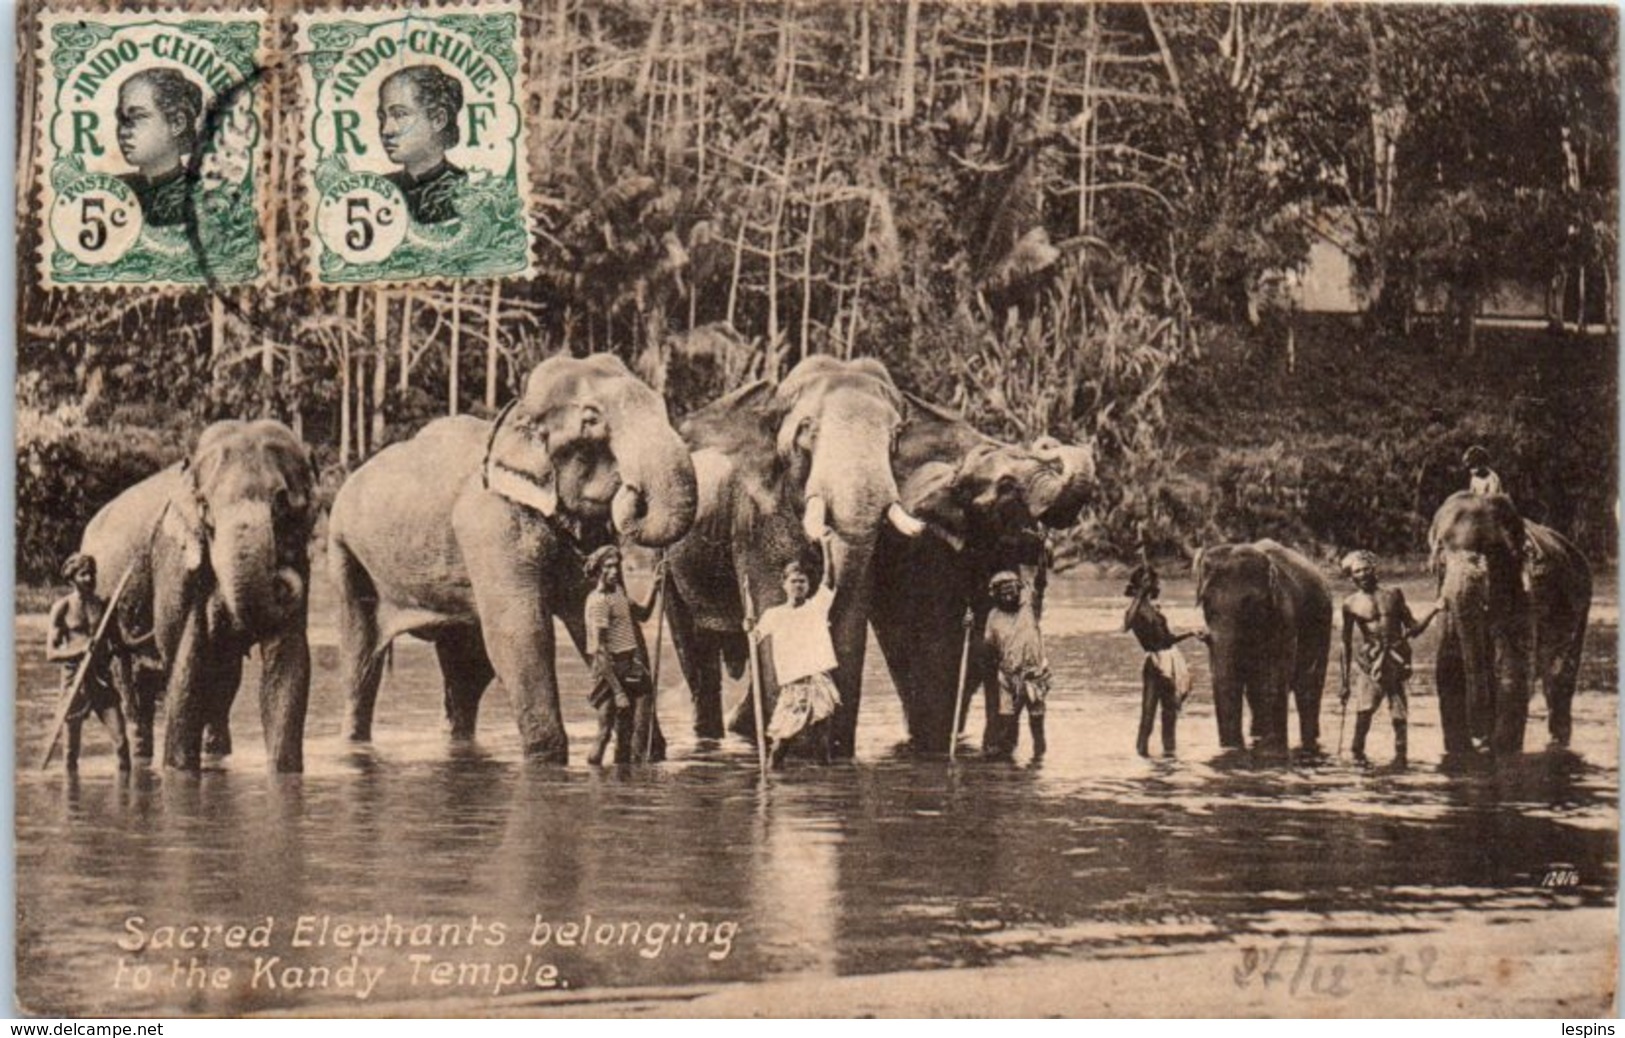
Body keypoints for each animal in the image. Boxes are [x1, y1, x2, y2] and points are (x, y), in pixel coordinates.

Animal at [79, 419, 318, 773]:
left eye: (282, 502)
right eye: (205, 507)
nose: (282, 579)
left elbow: (288, 661)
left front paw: (285, 773)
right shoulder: (173, 560)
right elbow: (186, 655)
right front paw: (178, 771)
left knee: (221, 683)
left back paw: (215, 753)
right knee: (130, 683)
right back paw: (141, 754)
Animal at [326, 354, 695, 760]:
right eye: (591, 420)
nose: (632, 491)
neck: (518, 414)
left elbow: (595, 619)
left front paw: (650, 754)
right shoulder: (492, 526)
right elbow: (522, 633)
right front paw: (548, 758)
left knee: (467, 671)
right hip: (345, 552)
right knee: (360, 661)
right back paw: (353, 742)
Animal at [1196, 539, 1332, 750]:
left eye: (1249, 602)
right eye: (1205, 601)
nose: (1228, 745)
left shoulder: (1284, 617)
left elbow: (1274, 678)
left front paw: (1272, 746)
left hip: (1323, 623)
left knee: (1308, 684)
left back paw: (1309, 739)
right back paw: (1257, 734)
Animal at [1430, 490, 1592, 760]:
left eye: (1492, 551)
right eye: (1442, 551)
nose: (1479, 738)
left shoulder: (1523, 589)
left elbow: (1513, 667)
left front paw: (1503, 751)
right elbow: (1449, 663)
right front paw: (1461, 752)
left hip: (1581, 602)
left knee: (1558, 679)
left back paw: (1558, 744)